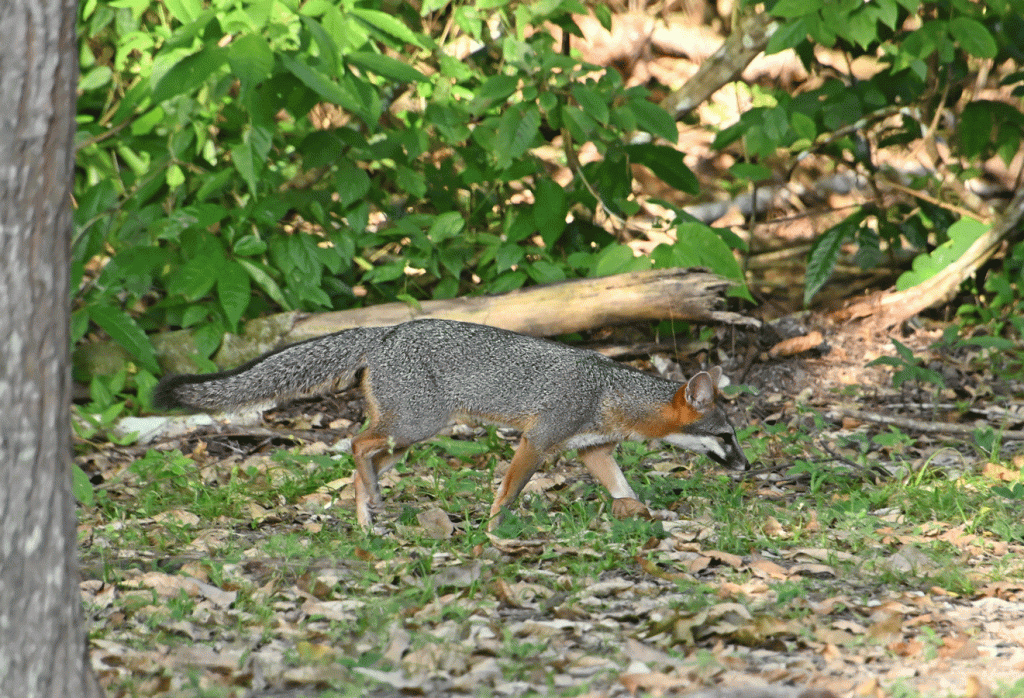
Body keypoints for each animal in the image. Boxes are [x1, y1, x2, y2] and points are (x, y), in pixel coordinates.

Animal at [154, 319, 749, 532]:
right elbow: (508, 492)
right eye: (726, 437)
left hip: (409, 437)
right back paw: (370, 508)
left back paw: (369, 512)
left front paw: (644, 517)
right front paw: (493, 532)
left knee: (366, 456)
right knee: (354, 442)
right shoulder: (538, 440)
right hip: (416, 426)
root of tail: (386, 330)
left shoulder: (591, 450)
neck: (610, 392)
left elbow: (625, 490)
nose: (747, 467)